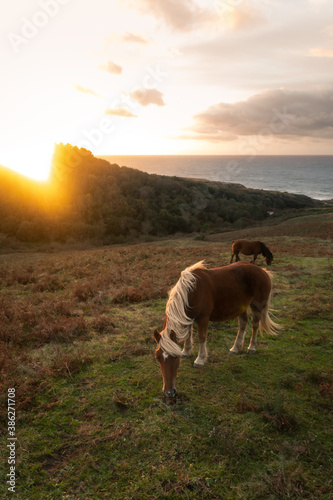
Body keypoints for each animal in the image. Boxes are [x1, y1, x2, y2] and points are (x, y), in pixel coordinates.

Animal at [154, 262, 278, 398]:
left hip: (257, 305)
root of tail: (263, 271)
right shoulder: (188, 318)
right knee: (243, 324)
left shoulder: (203, 319)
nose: (169, 392)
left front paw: (199, 360)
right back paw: (235, 348)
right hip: (242, 306)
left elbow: (202, 338)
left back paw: (251, 347)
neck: (192, 292)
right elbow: (187, 335)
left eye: (175, 357)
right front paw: (186, 352)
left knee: (255, 325)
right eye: (157, 357)